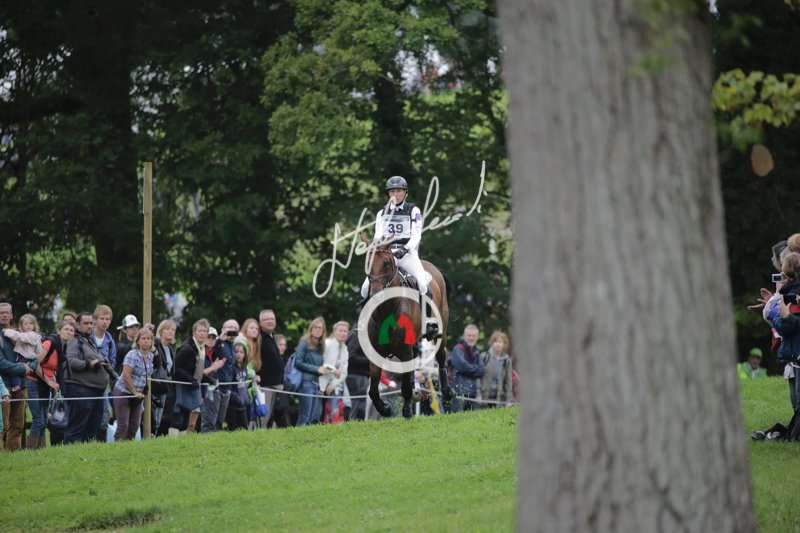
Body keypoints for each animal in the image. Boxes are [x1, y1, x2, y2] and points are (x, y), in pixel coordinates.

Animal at [358, 235, 455, 418]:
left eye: (386, 263)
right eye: (367, 262)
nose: (375, 295)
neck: (386, 310)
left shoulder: (405, 349)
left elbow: (404, 386)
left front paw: (407, 411)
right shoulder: (376, 352)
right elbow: (373, 390)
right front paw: (386, 409)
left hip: (441, 331)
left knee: (441, 357)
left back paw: (447, 393)